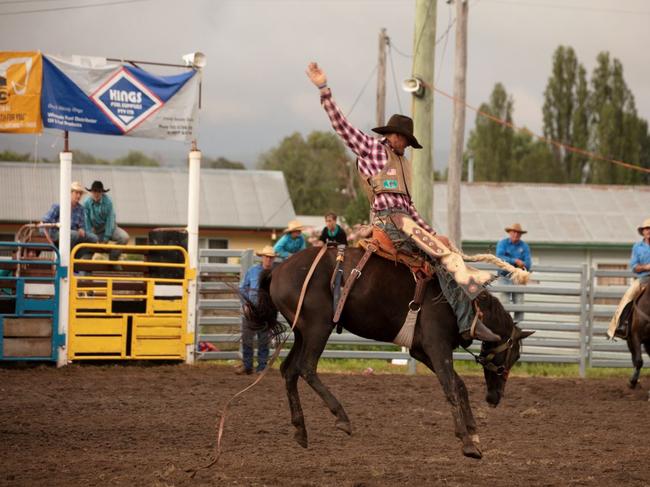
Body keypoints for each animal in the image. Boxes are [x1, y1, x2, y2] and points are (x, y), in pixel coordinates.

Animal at [253, 248, 532, 458]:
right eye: (515, 356)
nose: (494, 398)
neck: (466, 307)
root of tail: (278, 269)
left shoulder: (421, 351)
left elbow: (459, 385)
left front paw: (474, 433)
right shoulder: (437, 345)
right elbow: (451, 388)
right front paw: (466, 442)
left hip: (301, 331)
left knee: (289, 370)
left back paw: (301, 430)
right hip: (317, 327)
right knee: (307, 367)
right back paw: (342, 417)